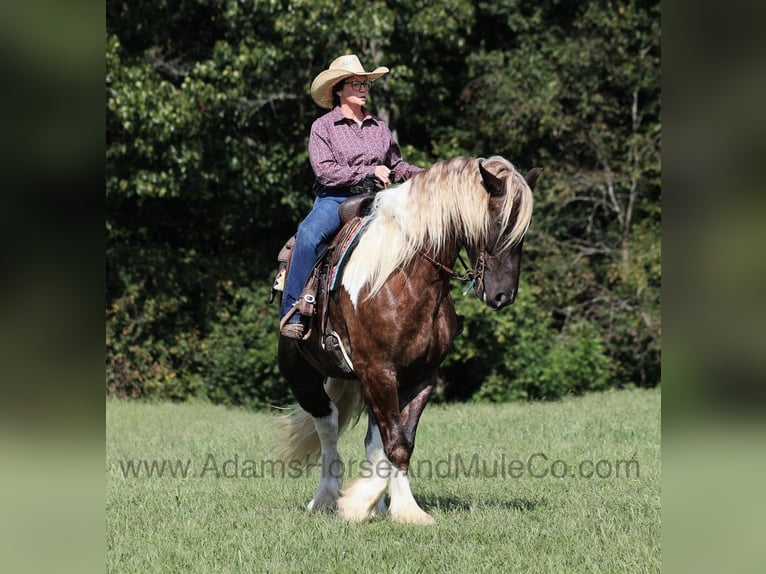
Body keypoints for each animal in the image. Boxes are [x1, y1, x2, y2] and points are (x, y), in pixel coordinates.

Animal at [276, 155, 540, 524]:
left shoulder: (419, 378)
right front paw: (377, 506)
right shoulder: (379, 372)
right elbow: (394, 443)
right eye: (497, 223)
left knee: (370, 437)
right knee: (327, 424)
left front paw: (394, 506)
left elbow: (400, 443)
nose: (503, 296)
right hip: (303, 376)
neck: (404, 277)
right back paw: (326, 498)